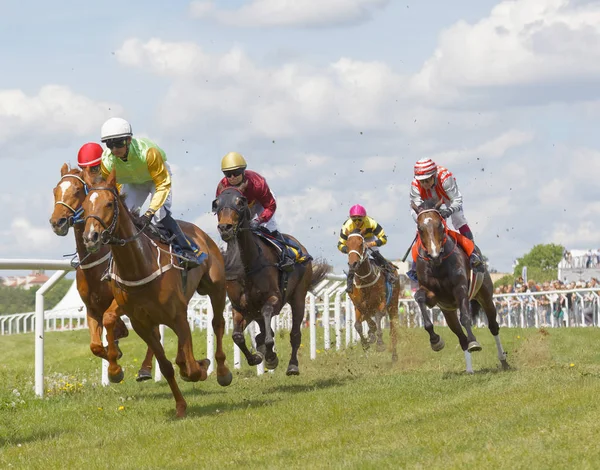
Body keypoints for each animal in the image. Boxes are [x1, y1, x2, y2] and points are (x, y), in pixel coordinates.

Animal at [83, 170, 233, 418]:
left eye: (109, 203)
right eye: (85, 205)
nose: (90, 237)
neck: (139, 266)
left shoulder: (178, 316)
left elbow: (192, 368)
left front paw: (201, 367)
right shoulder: (141, 323)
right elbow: (166, 366)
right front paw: (180, 406)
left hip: (217, 288)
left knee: (217, 323)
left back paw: (222, 371)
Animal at [213, 186, 330, 374]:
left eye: (240, 202)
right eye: (216, 204)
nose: (225, 227)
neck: (247, 266)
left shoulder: (274, 298)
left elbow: (269, 324)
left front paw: (270, 357)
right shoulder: (240, 307)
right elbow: (237, 336)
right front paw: (255, 358)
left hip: (298, 297)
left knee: (294, 334)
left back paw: (292, 365)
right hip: (253, 312)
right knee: (261, 331)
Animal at [344, 229, 400, 362]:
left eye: (361, 244)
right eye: (347, 245)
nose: (353, 264)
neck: (365, 280)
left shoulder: (382, 302)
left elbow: (378, 317)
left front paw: (379, 342)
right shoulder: (358, 305)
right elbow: (358, 324)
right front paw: (367, 341)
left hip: (393, 304)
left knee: (393, 328)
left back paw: (394, 355)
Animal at [410, 200, 508, 372]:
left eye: (440, 225)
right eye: (420, 228)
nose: (434, 255)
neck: (438, 265)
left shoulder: (460, 289)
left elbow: (466, 317)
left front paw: (474, 341)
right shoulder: (432, 295)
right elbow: (420, 298)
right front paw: (435, 340)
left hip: (486, 297)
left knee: (493, 326)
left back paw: (503, 360)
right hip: (448, 312)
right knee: (460, 337)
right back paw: (469, 370)